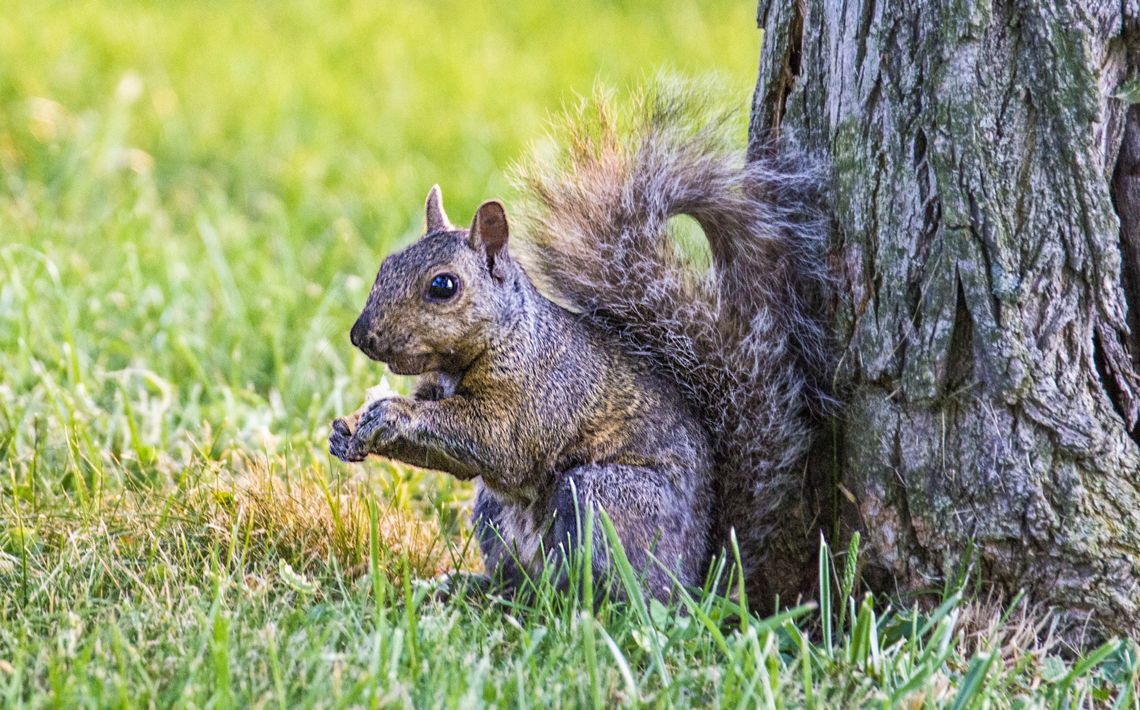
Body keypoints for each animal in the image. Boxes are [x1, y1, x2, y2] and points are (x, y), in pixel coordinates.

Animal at [329, 86, 830, 604]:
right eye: (386, 264)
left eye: (443, 286)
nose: (361, 335)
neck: (502, 338)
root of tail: (695, 578)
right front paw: (345, 429)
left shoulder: (540, 395)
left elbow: (495, 442)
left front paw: (391, 414)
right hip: (494, 513)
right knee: (518, 582)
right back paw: (475, 586)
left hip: (602, 499)